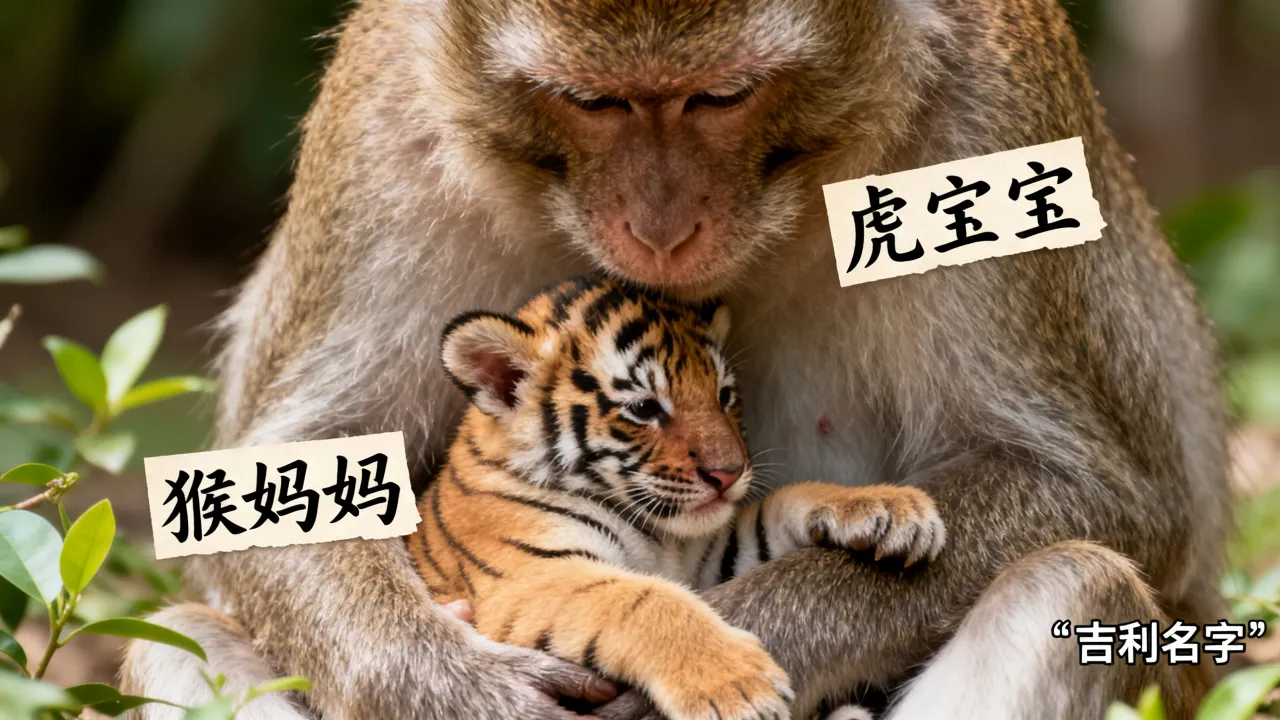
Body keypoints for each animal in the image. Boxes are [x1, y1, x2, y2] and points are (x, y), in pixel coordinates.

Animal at [406, 276, 946, 720]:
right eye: (645, 408)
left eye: (724, 395)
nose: (729, 473)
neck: (658, 532)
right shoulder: (533, 575)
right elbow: (643, 598)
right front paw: (739, 686)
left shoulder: (711, 558)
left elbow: (782, 505)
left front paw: (891, 510)